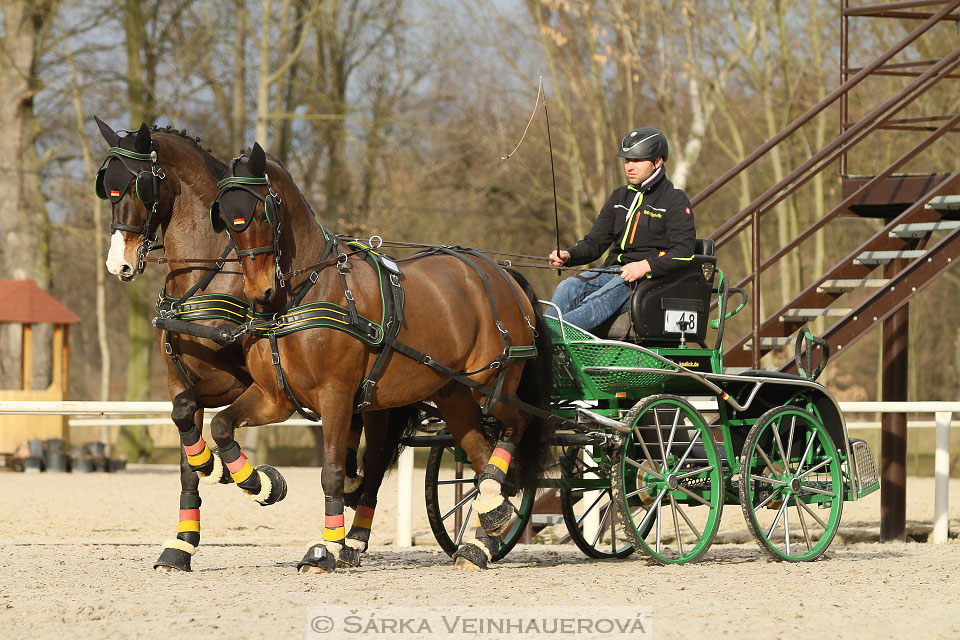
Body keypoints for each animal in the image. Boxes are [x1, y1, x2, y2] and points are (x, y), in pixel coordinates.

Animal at [210, 144, 556, 568]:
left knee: (515, 425)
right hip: (452, 393)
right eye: (226, 221)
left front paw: (326, 548)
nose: (260, 292)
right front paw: (259, 483)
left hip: (491, 384)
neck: (304, 294)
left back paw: (489, 520)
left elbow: (332, 472)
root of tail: (501, 273)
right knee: (478, 455)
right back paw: (482, 535)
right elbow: (221, 425)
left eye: (262, 212)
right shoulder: (274, 398)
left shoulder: (336, 395)